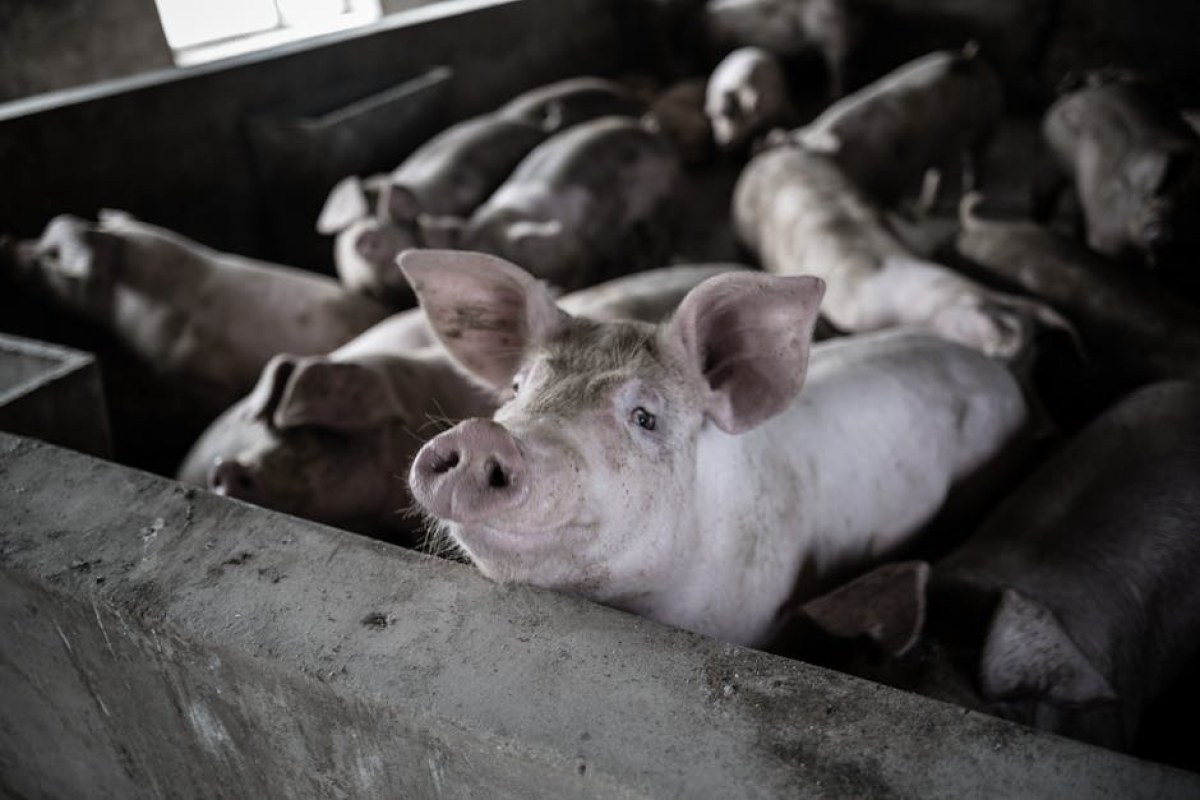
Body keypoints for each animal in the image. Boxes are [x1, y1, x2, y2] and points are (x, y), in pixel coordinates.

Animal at [792, 42, 1003, 211]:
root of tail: (969, 56)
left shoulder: (892, 179)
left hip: (988, 122)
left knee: (975, 159)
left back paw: (972, 198)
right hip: (945, 142)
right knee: (938, 169)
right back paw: (926, 208)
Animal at [1032, 71, 1200, 271]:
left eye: (1189, 200)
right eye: (1151, 194)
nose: (1162, 231)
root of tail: (1082, 84)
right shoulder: (1109, 238)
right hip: (1046, 159)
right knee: (1043, 201)